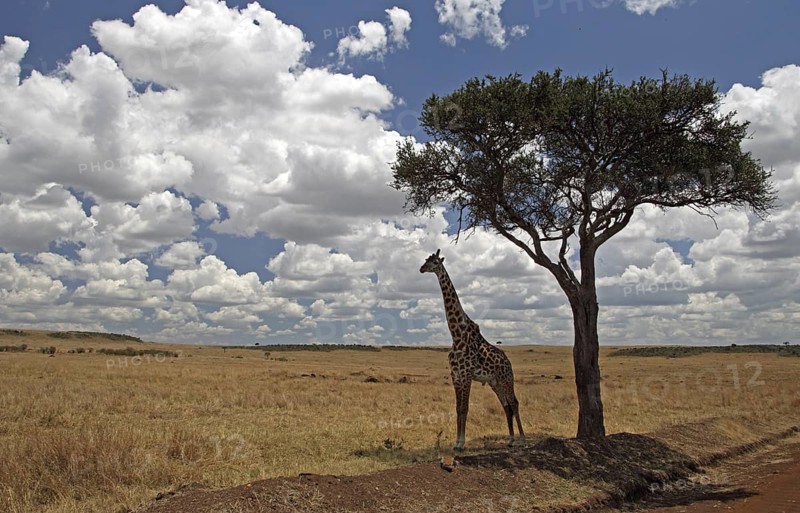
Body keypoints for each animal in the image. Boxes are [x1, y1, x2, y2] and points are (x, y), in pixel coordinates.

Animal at [420, 249, 526, 451]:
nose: (421, 269)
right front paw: (456, 442)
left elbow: (465, 407)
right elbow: (457, 408)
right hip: (494, 382)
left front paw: (461, 443)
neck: (456, 334)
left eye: (435, 262)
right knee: (506, 405)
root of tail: (508, 362)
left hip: (506, 379)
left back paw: (522, 439)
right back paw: (510, 439)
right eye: (426, 260)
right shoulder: (455, 374)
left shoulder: (466, 373)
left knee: (514, 403)